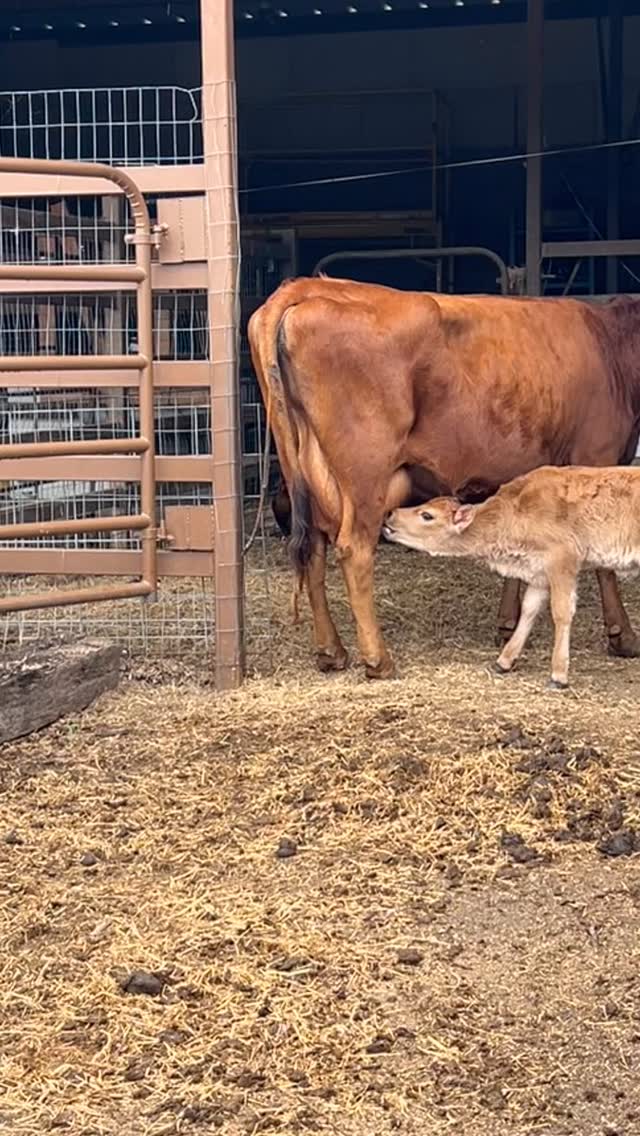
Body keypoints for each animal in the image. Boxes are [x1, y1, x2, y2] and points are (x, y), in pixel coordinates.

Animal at [383, 465, 640, 689]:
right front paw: (504, 661)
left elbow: (561, 612)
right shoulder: (539, 571)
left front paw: (558, 674)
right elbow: (528, 609)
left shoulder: (562, 560)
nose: (390, 513)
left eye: (427, 515)